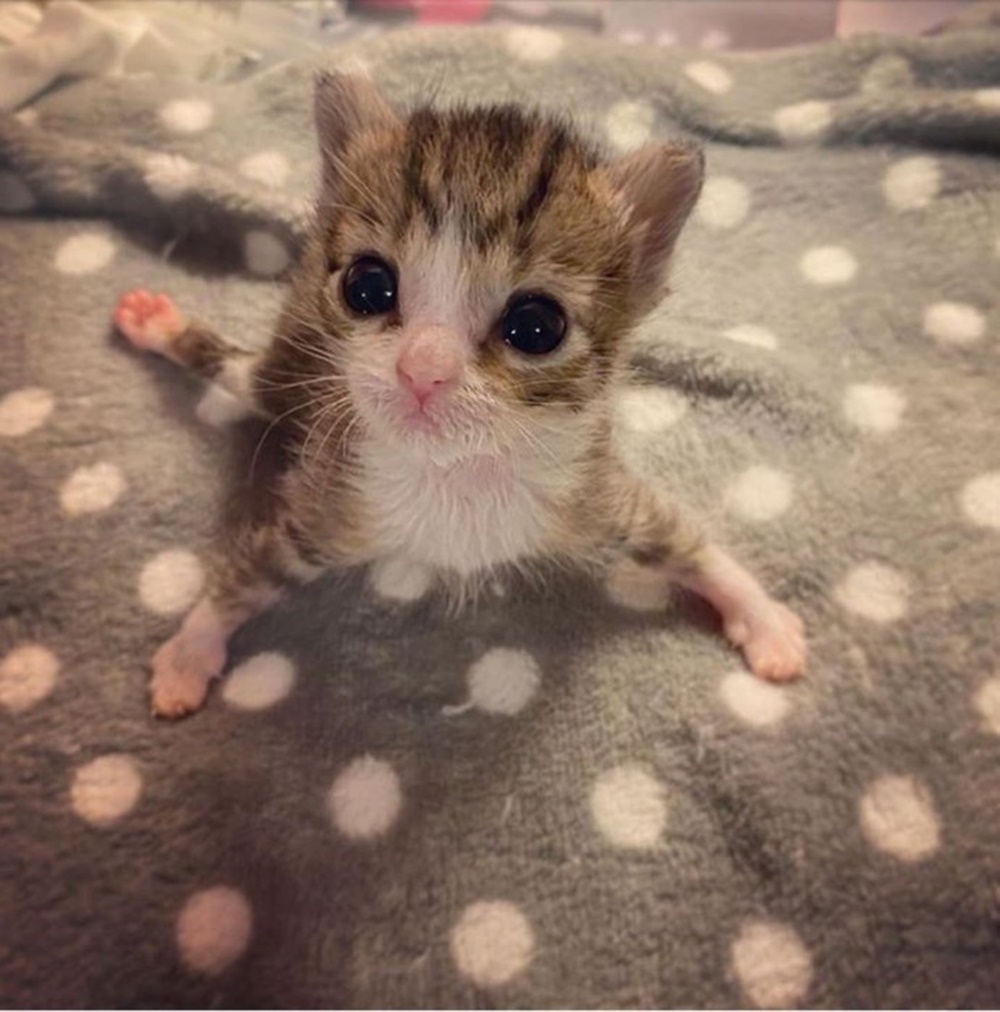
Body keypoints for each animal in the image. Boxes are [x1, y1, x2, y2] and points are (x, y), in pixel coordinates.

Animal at [113, 72, 805, 719]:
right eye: (367, 286)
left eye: (536, 326)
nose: (423, 369)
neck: (456, 475)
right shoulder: (323, 509)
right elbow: (251, 570)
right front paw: (191, 650)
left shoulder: (596, 499)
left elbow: (681, 537)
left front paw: (761, 616)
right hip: (296, 368)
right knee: (240, 372)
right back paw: (157, 326)